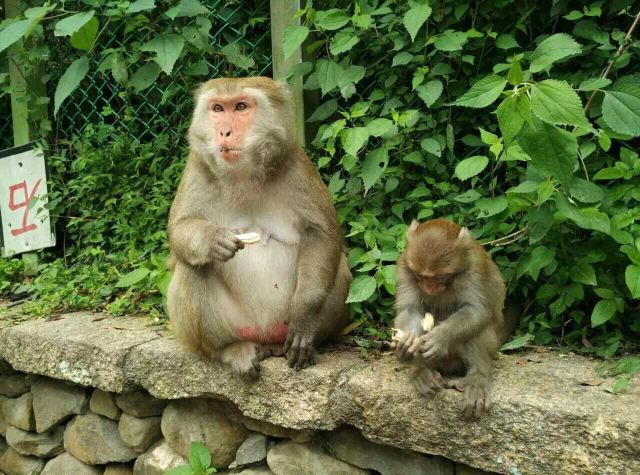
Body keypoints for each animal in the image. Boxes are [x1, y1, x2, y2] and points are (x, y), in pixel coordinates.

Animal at [165, 77, 352, 380]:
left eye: (241, 107)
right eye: (218, 108)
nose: (224, 132)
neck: (244, 173)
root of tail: (264, 336)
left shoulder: (295, 163)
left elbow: (322, 234)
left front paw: (304, 318)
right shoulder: (196, 166)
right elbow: (179, 230)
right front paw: (212, 239)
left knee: (340, 267)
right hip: (235, 324)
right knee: (190, 267)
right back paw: (230, 349)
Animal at [392, 219, 512, 420]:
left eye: (440, 276)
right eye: (420, 275)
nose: (429, 288)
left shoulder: (474, 267)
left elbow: (475, 310)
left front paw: (440, 337)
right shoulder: (404, 266)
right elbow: (409, 310)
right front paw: (406, 344)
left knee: (476, 331)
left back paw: (477, 380)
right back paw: (420, 372)